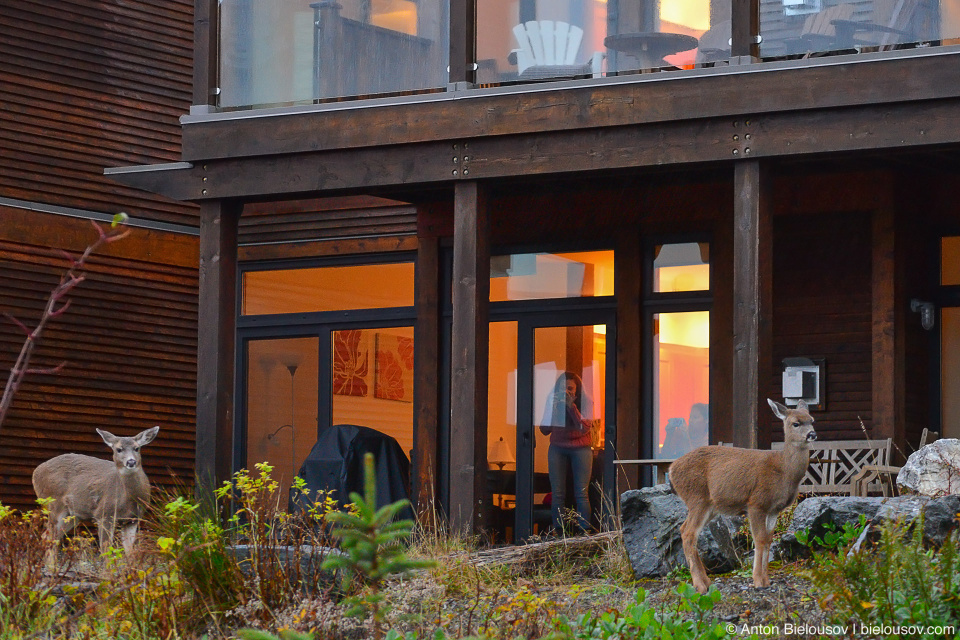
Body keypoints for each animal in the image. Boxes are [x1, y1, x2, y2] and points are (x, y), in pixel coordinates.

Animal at [32, 424, 159, 560]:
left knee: (51, 536)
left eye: (137, 448)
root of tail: (35, 473)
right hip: (53, 503)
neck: (128, 499)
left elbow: (130, 552)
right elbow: (106, 550)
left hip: (73, 515)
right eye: (118, 449)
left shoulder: (132, 519)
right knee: (49, 536)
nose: (131, 462)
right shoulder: (104, 514)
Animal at [668, 400, 816, 596]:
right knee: (688, 532)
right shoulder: (756, 503)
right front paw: (758, 581)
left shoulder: (773, 510)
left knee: (686, 530)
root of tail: (671, 469)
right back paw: (700, 585)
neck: (784, 471)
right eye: (796, 423)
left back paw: (706, 581)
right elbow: (759, 539)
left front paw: (766, 579)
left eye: (812, 420)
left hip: (710, 507)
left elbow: (768, 539)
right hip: (697, 498)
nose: (812, 434)